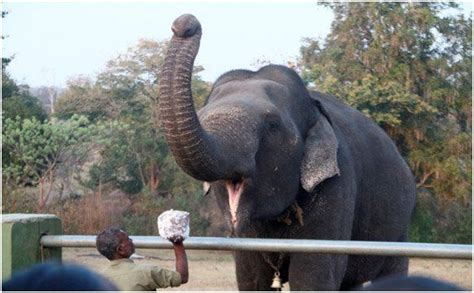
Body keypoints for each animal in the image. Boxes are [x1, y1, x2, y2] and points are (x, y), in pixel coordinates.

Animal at [156, 14, 414, 290]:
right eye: (203, 116)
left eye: (272, 125)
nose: (185, 24)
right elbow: (250, 277)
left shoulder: (337, 188)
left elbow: (312, 277)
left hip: (400, 226)